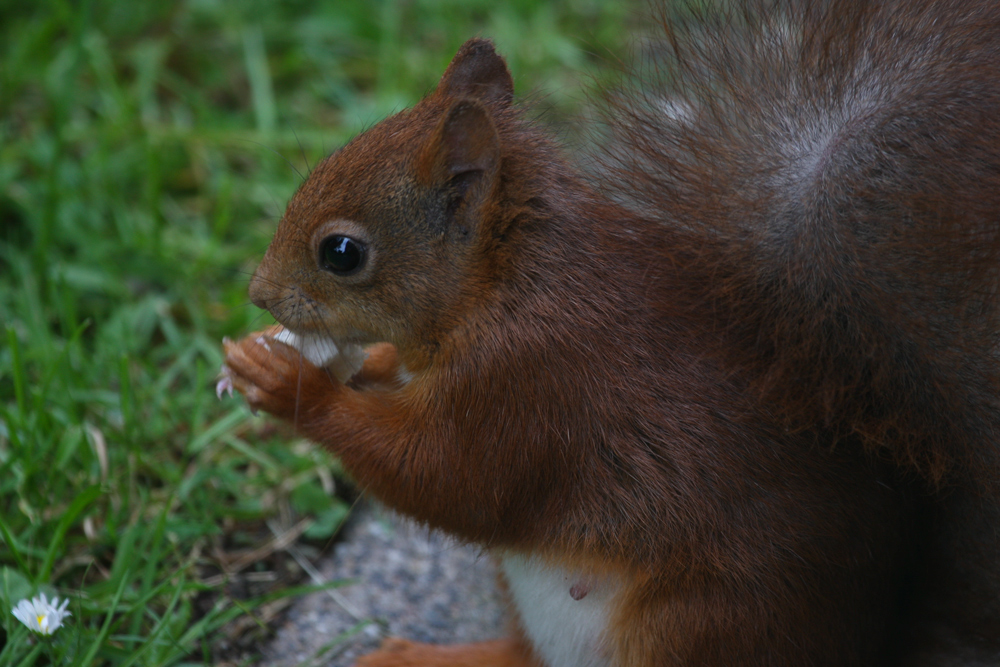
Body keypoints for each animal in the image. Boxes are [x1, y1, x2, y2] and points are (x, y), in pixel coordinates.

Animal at [219, 2, 1000, 664]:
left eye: (342, 253)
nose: (257, 293)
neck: (501, 282)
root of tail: (879, 639)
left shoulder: (533, 381)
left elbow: (446, 478)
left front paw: (290, 383)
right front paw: (364, 361)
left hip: (698, 626)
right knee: (520, 656)